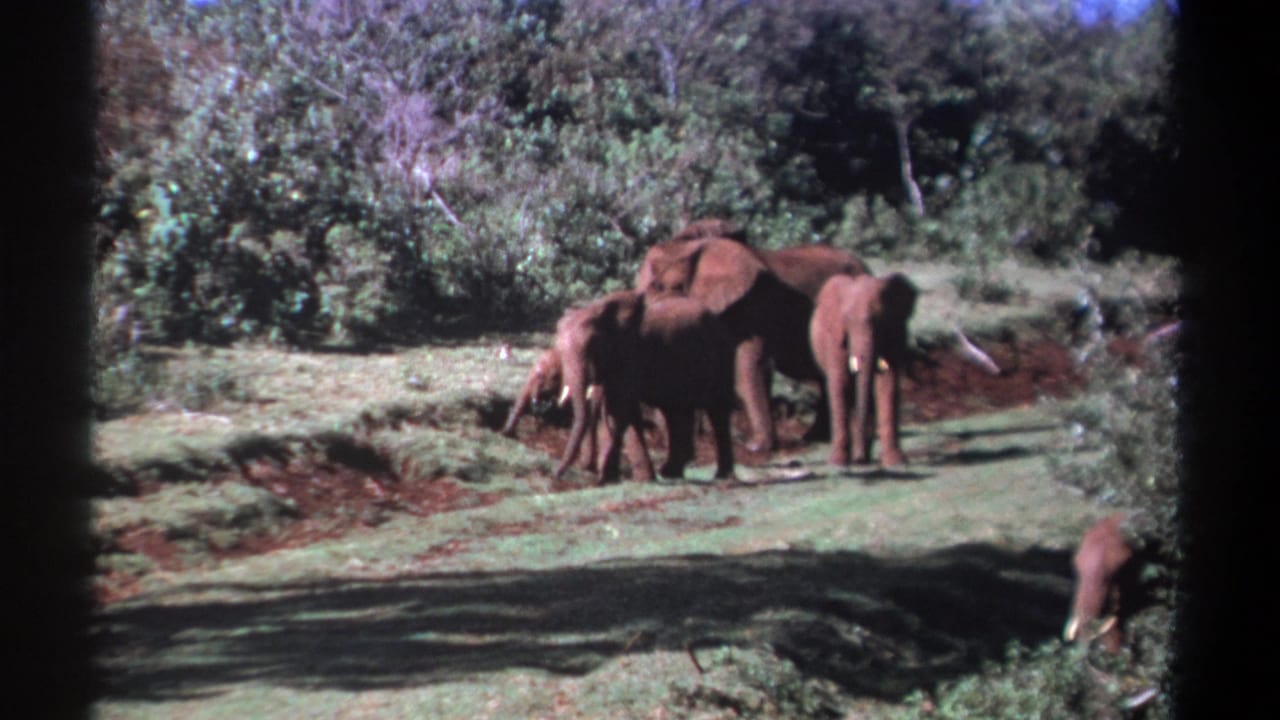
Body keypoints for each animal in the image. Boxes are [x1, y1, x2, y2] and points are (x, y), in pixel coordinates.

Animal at [553, 289, 737, 484]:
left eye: (591, 347)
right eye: (559, 350)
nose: (556, 475)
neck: (597, 310)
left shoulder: (632, 353)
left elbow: (620, 409)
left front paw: (610, 479)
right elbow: (623, 410)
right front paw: (620, 479)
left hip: (723, 354)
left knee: (717, 411)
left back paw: (722, 476)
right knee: (675, 411)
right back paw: (671, 473)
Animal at [636, 236, 872, 452]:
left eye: (668, 287)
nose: (661, 444)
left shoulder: (752, 306)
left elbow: (745, 367)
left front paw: (755, 447)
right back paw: (814, 438)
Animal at [808, 272, 918, 467]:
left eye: (880, 321)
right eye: (847, 320)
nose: (859, 459)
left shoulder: (896, 332)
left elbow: (887, 382)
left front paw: (896, 462)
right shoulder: (834, 337)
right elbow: (840, 382)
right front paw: (838, 462)